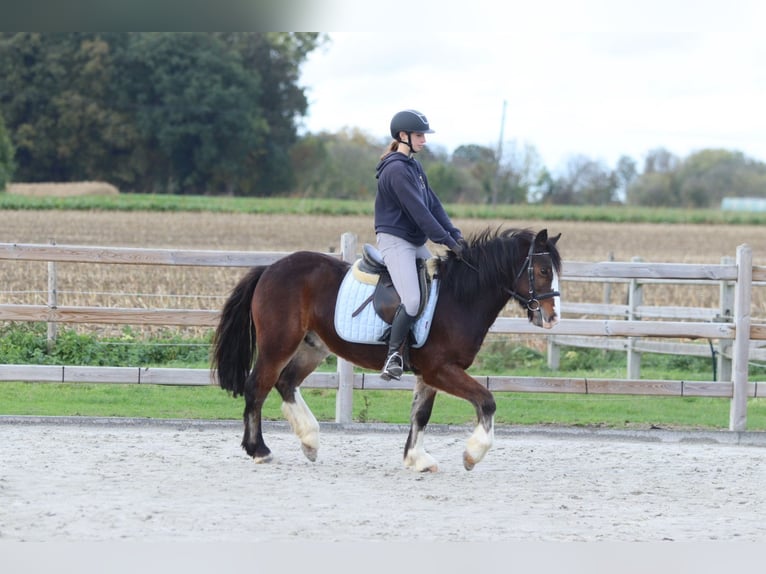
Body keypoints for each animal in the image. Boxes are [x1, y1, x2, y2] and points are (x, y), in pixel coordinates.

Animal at [211, 227, 562, 471]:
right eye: (543, 271)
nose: (552, 317)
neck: (459, 297)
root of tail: (270, 269)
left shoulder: (429, 375)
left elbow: (421, 414)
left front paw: (417, 459)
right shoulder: (441, 369)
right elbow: (486, 401)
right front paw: (471, 455)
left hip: (312, 347)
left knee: (286, 383)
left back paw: (309, 441)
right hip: (278, 345)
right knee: (258, 386)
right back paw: (259, 450)